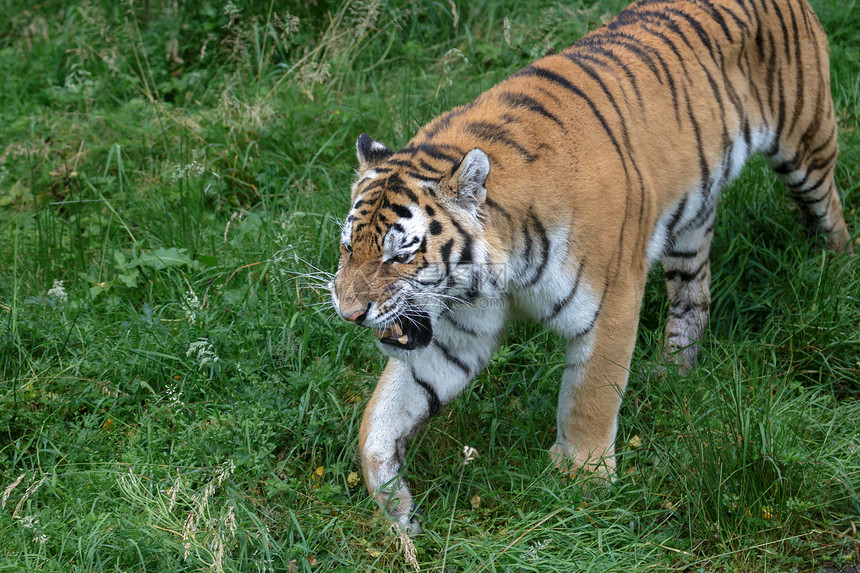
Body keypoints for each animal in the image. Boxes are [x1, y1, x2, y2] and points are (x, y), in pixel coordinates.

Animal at [326, 0, 848, 532]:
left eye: (400, 254)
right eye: (348, 248)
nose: (349, 313)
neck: (497, 276)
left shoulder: (612, 299)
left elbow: (591, 395)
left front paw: (583, 481)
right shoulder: (459, 333)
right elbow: (388, 408)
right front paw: (392, 500)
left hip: (807, 142)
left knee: (831, 209)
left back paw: (833, 274)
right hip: (692, 222)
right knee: (693, 294)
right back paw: (672, 373)